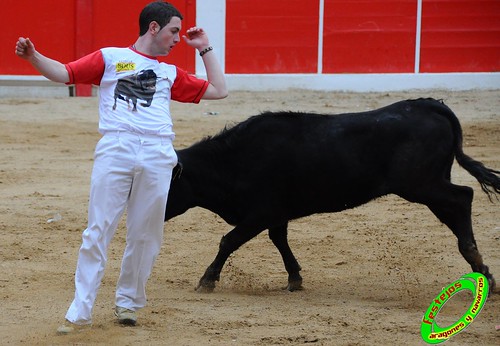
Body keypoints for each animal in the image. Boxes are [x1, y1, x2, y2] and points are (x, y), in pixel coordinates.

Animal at [164, 98, 500, 294]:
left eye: (167, 184)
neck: (232, 161)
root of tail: (428, 104)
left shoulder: (260, 213)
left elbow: (229, 240)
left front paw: (207, 280)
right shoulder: (275, 215)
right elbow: (279, 240)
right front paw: (295, 279)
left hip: (421, 184)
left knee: (463, 197)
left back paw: (477, 264)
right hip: (429, 185)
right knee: (455, 209)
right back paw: (482, 271)